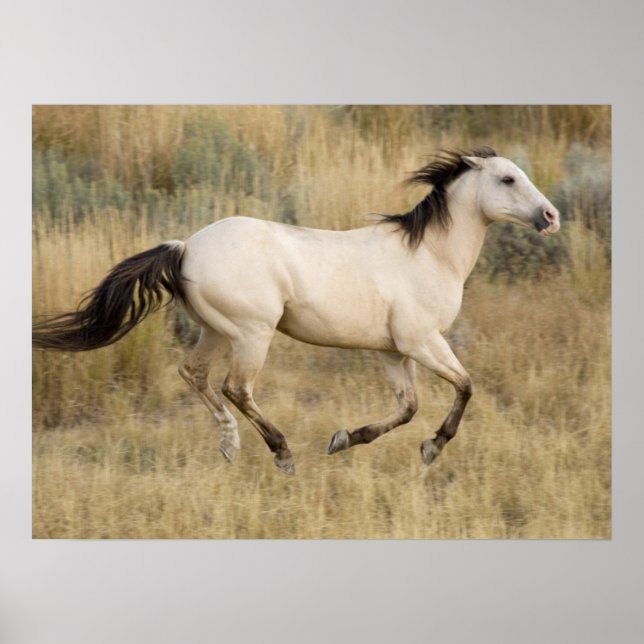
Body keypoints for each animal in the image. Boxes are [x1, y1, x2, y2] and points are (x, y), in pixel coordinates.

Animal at [32, 146, 560, 474]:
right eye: (508, 178)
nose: (551, 217)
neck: (429, 254)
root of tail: (185, 247)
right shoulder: (422, 342)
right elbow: (465, 386)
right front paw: (432, 447)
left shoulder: (393, 351)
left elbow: (407, 407)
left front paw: (345, 438)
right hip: (252, 334)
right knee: (236, 387)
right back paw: (282, 454)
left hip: (215, 331)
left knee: (194, 374)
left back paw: (229, 445)